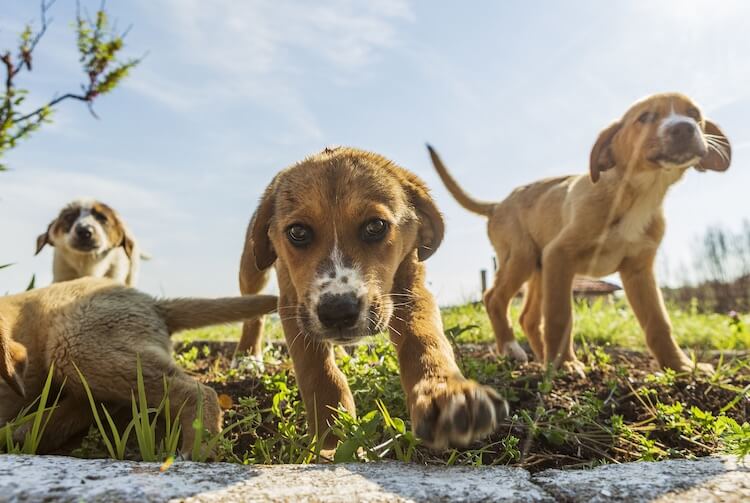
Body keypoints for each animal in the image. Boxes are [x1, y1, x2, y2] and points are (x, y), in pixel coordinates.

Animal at [0, 278, 280, 458]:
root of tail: (154, 303)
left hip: (75, 345)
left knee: (198, 390)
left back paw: (199, 450)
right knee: (96, 402)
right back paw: (24, 430)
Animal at [239, 146, 512, 448]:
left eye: (376, 226)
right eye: (297, 232)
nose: (338, 313)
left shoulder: (411, 288)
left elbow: (424, 339)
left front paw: (446, 392)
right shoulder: (293, 301)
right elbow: (315, 366)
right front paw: (330, 428)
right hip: (251, 270)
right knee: (253, 313)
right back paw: (248, 357)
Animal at [432, 92, 732, 376]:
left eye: (694, 114)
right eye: (645, 117)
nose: (684, 128)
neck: (637, 195)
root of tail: (498, 204)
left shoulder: (638, 269)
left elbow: (659, 322)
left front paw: (681, 366)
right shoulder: (560, 255)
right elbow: (560, 316)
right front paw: (565, 364)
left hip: (540, 269)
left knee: (528, 318)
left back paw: (542, 358)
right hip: (521, 257)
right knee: (494, 298)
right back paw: (513, 350)